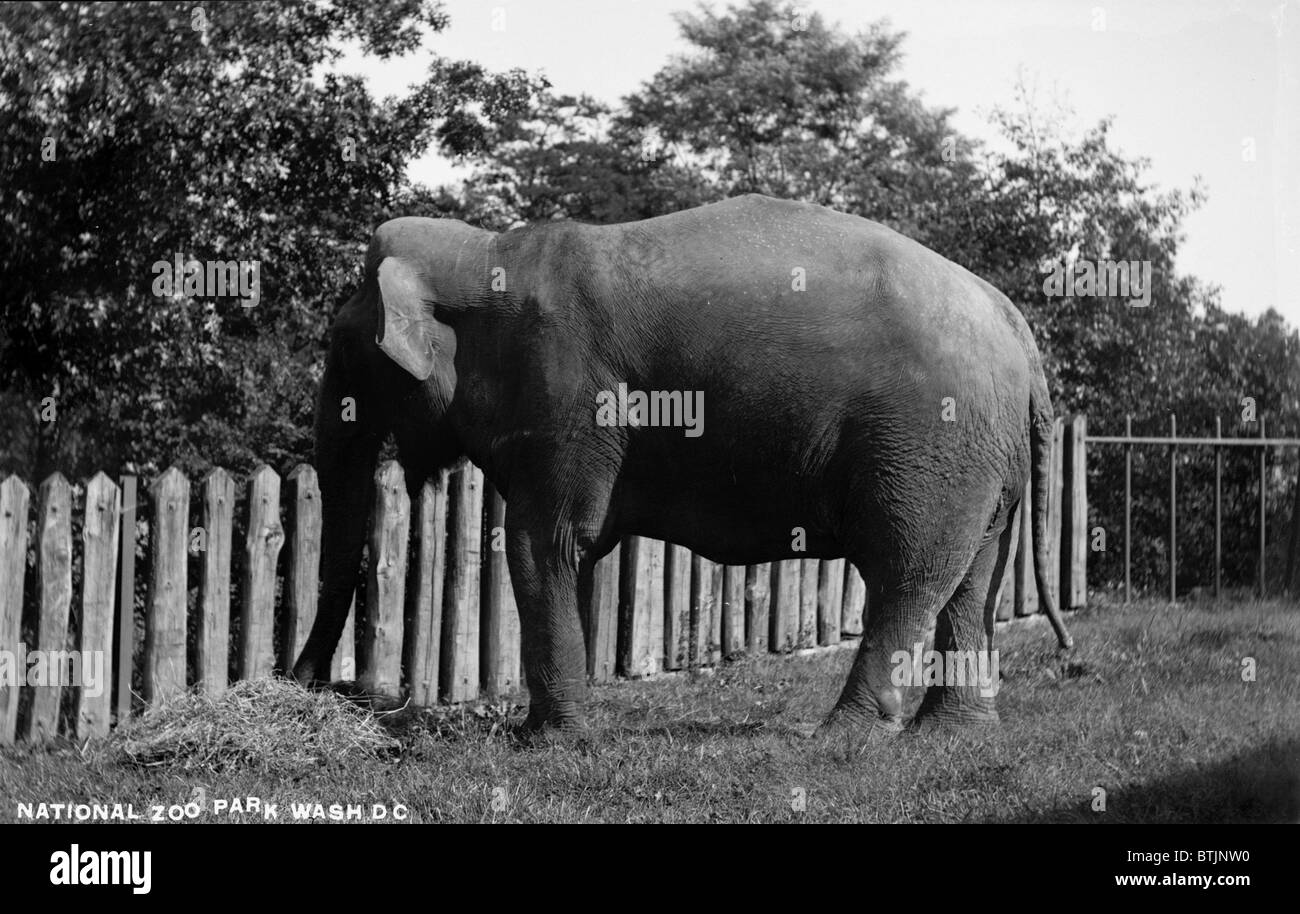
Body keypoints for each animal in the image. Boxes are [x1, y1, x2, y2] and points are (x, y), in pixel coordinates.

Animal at [291, 193, 1073, 735]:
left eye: (340, 347)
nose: (303, 683)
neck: (486, 253)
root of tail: (1017, 328)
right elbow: (569, 554)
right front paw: (552, 730)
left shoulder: (569, 394)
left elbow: (543, 544)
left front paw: (547, 743)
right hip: (981, 461)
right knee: (970, 579)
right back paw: (950, 733)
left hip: (930, 445)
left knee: (907, 576)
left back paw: (841, 737)